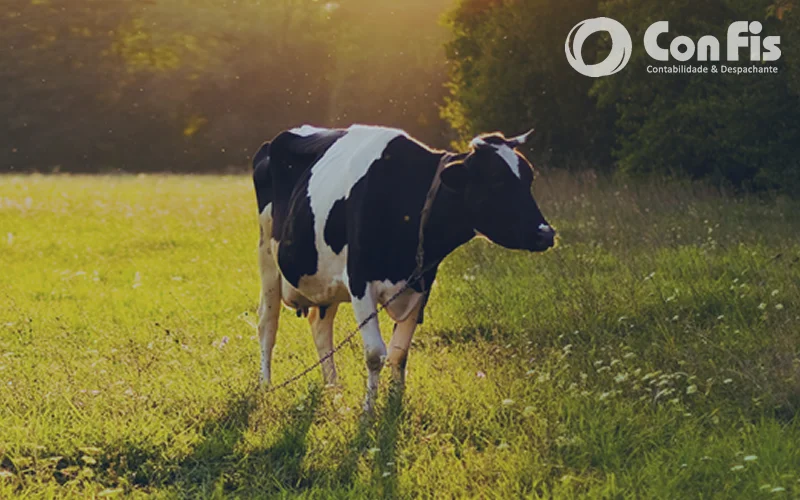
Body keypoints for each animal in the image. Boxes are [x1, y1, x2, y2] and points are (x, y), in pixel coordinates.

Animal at [253, 124, 552, 410]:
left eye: (529, 178)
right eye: (496, 180)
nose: (546, 234)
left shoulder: (421, 283)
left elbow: (399, 353)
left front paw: (395, 404)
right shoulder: (359, 281)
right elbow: (375, 354)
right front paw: (368, 413)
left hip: (324, 282)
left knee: (320, 327)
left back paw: (333, 390)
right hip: (267, 257)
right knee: (267, 324)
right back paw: (266, 386)